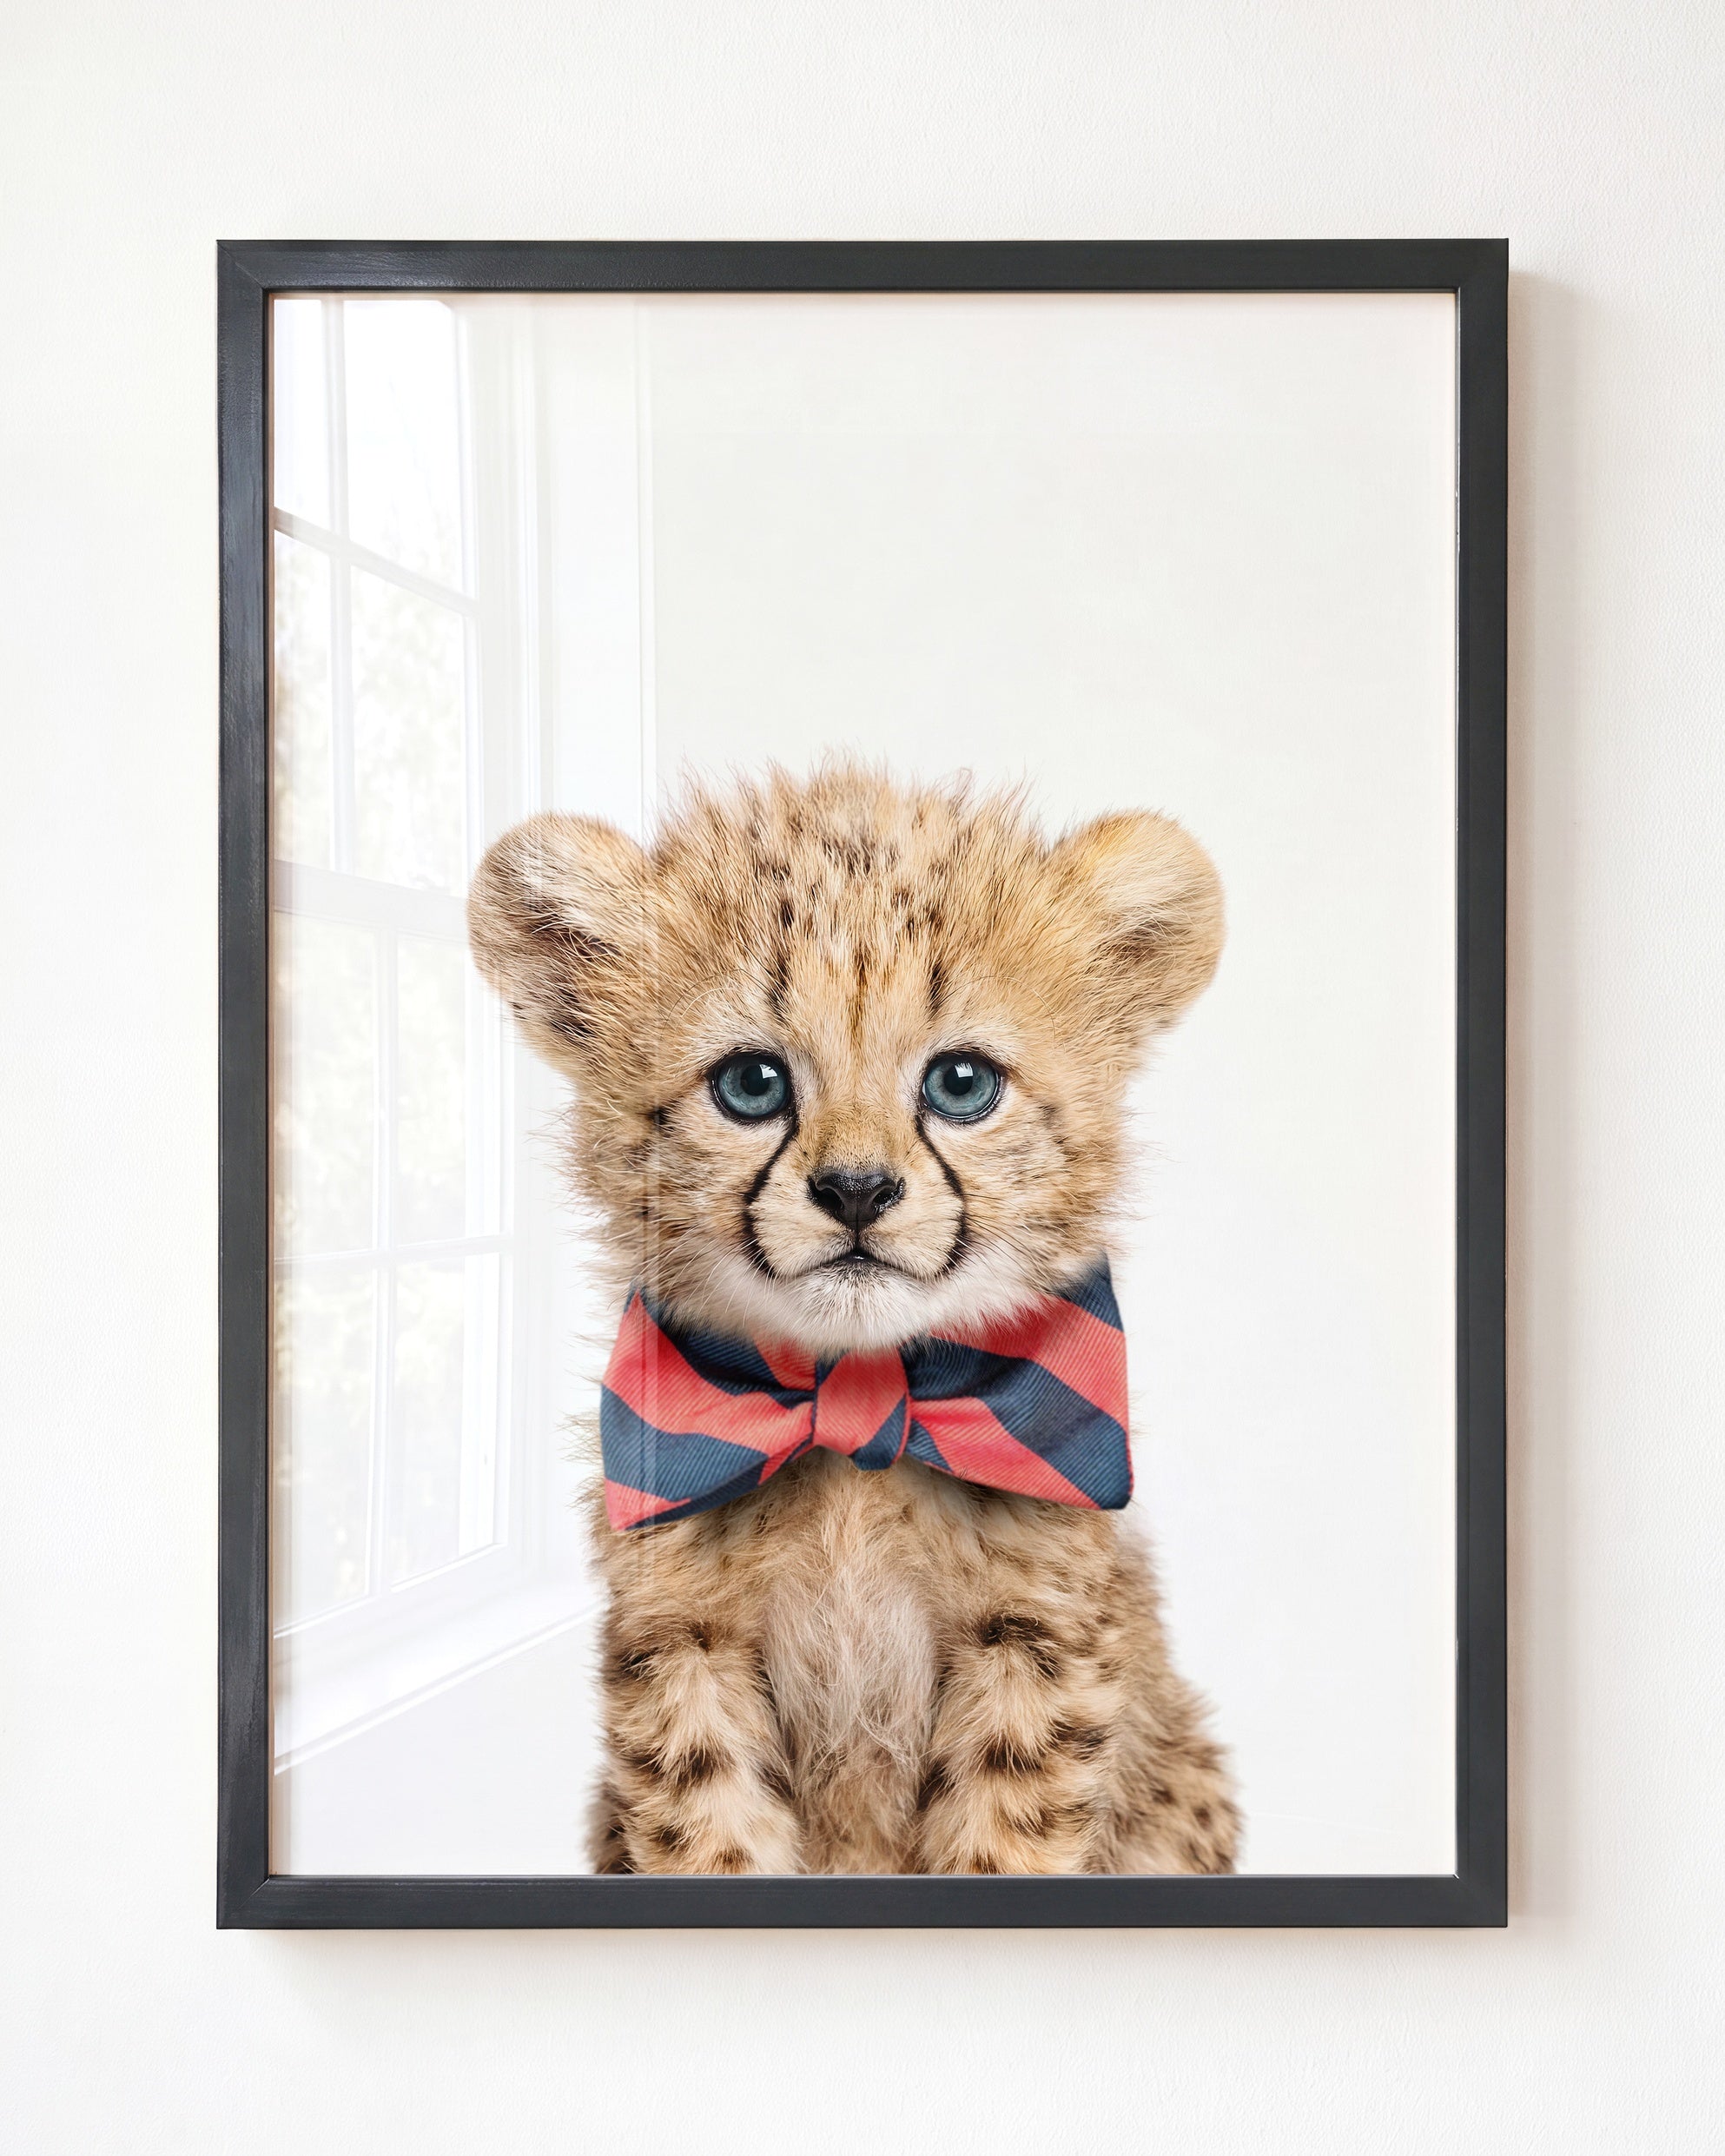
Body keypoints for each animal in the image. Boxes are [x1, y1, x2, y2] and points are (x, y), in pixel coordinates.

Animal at [468, 762, 1239, 1875]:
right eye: (752, 1083)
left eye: (961, 1082)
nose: (858, 1190)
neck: (855, 1404)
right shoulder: (683, 1641)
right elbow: (712, 1837)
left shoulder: (1036, 1642)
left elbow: (1002, 1845)